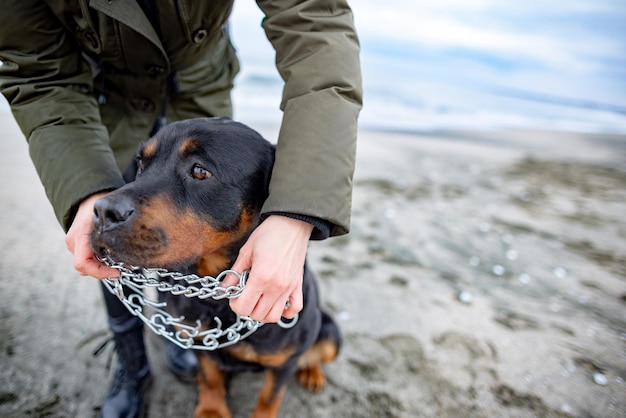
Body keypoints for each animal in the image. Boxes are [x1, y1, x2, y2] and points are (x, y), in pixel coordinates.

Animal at [88, 116, 342, 418]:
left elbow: (268, 397)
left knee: (316, 352)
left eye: (200, 171)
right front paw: (211, 409)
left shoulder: (285, 361)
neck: (216, 299)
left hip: (330, 332)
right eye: (141, 164)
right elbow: (209, 376)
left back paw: (312, 373)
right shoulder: (198, 339)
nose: (102, 211)